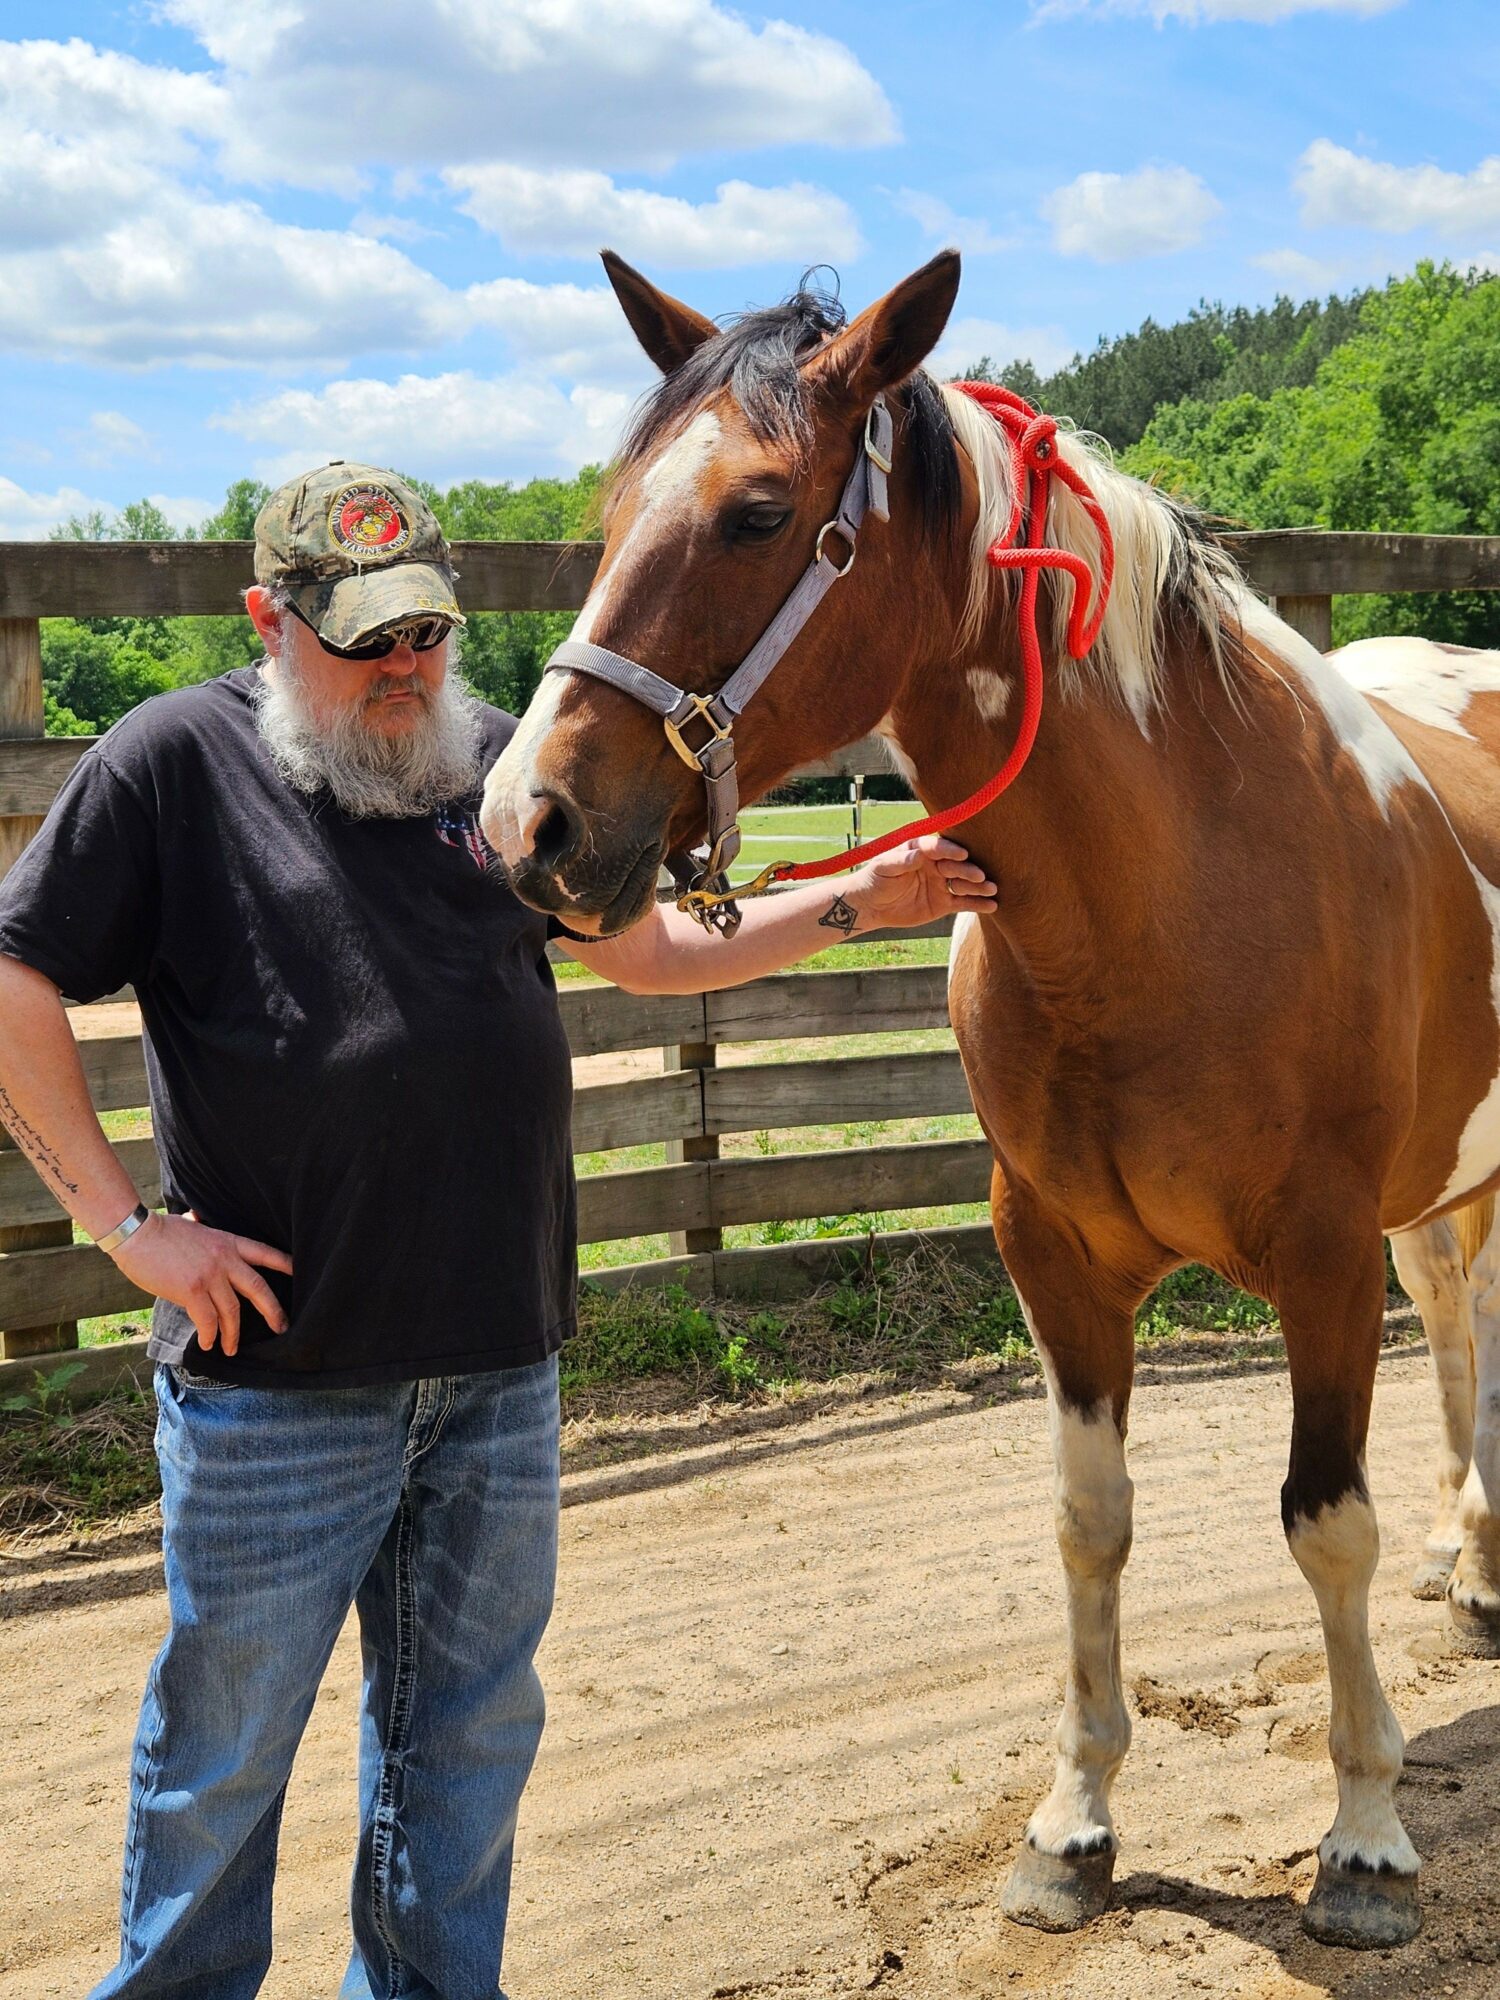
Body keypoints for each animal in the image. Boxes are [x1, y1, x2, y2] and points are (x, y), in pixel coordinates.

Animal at [479, 248, 1500, 1951]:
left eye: (758, 512)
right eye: (618, 509)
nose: (526, 822)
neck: (1177, 887)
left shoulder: (1322, 1258)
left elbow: (1324, 1522)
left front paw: (1363, 1842)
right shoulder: (1055, 1255)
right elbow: (1090, 1524)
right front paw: (1073, 1827)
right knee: (1464, 1319)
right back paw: (1470, 1560)